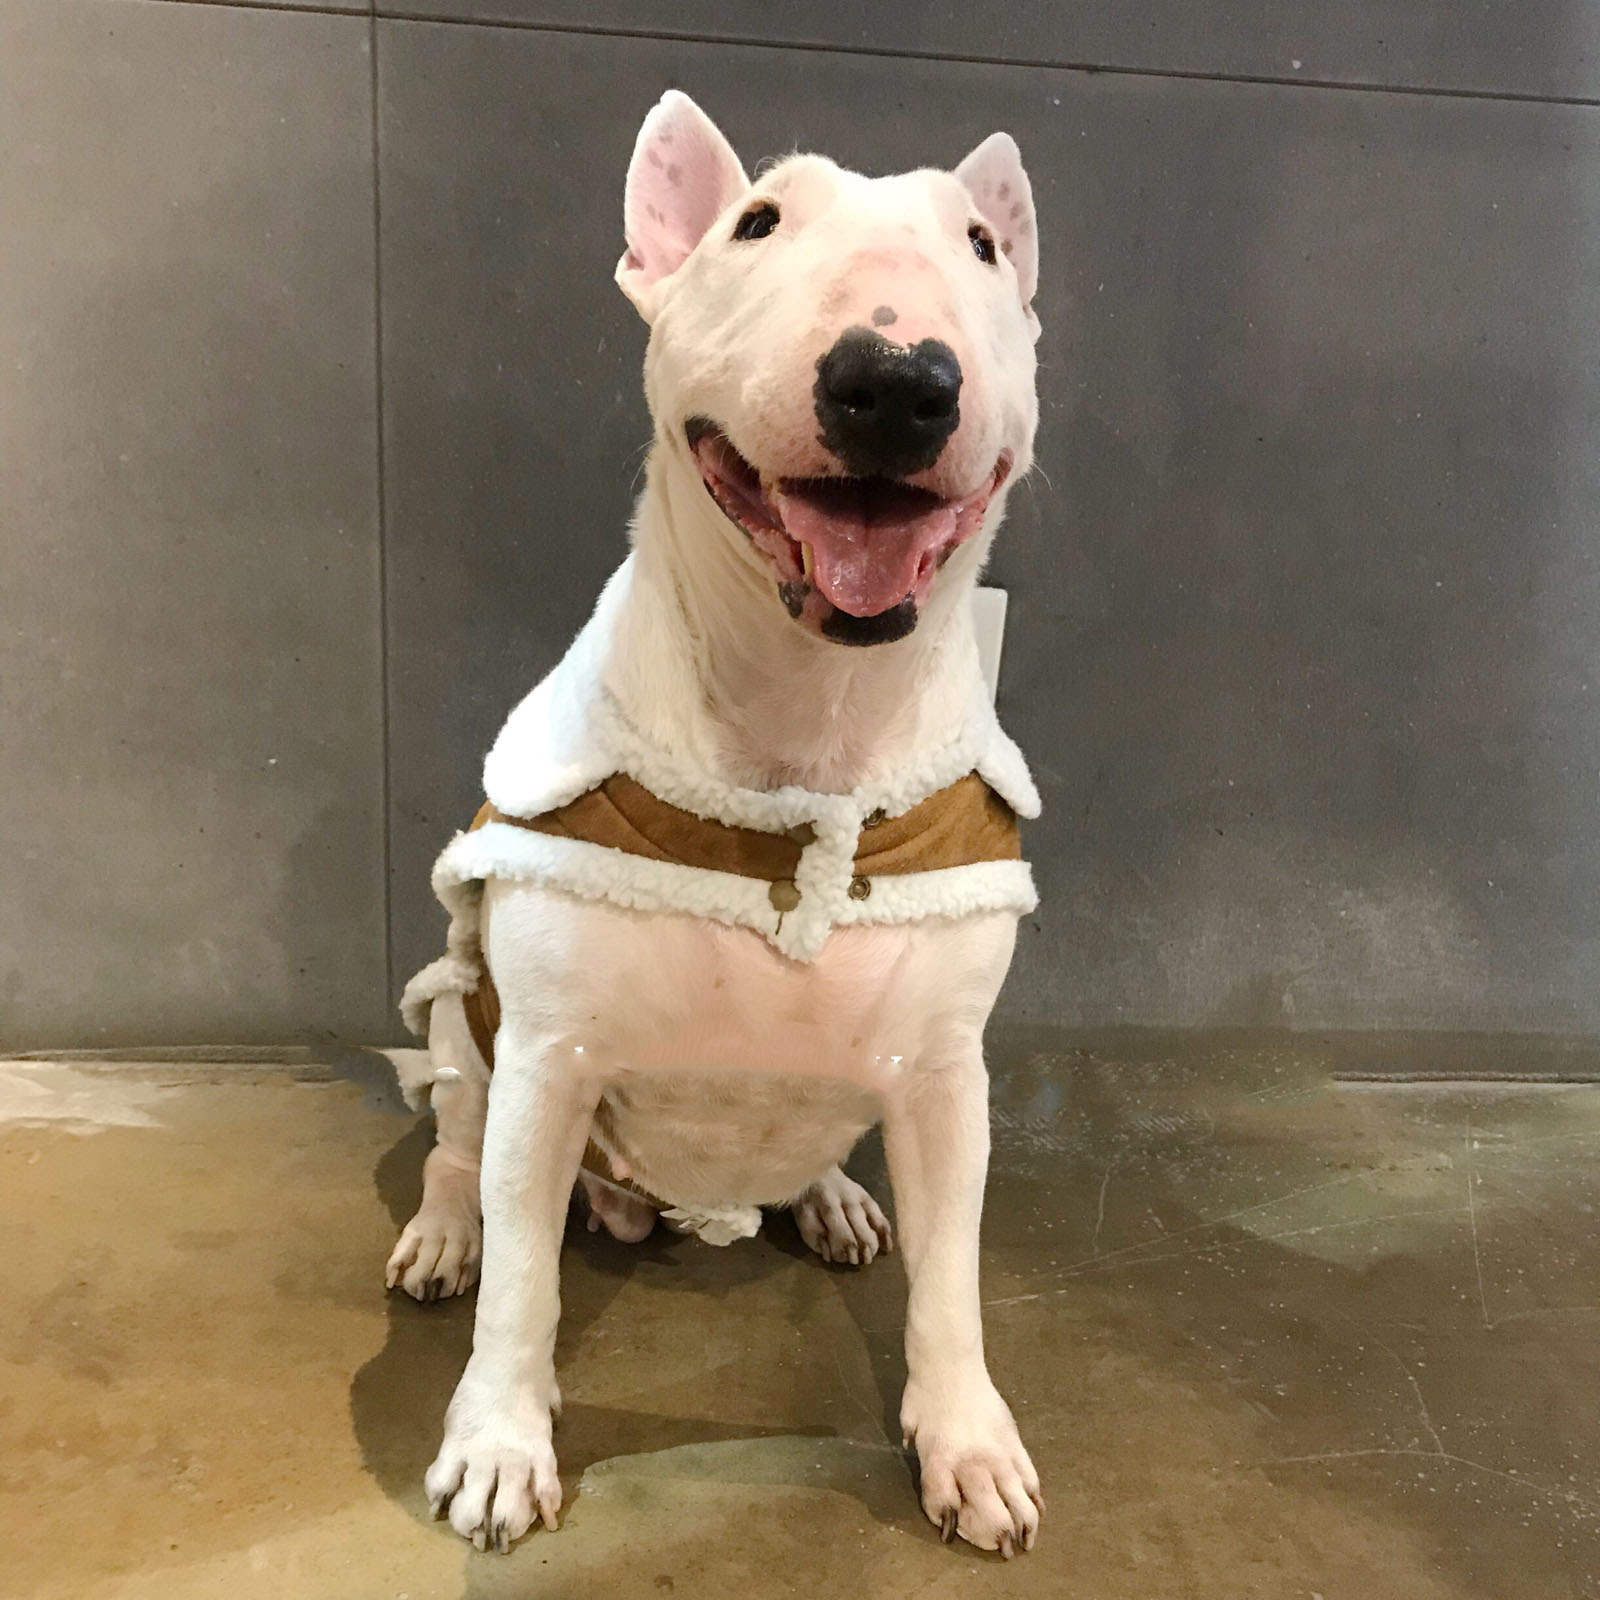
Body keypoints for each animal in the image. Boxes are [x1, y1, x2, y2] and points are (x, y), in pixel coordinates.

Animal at [386, 90, 1045, 1557]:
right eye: (755, 222)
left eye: (980, 246)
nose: (895, 381)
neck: (807, 734)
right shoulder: (551, 1056)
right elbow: (526, 1284)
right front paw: (498, 1445)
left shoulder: (948, 1072)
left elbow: (957, 1280)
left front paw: (969, 1445)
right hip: (464, 1021)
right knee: (459, 1141)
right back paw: (446, 1234)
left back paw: (837, 1199)